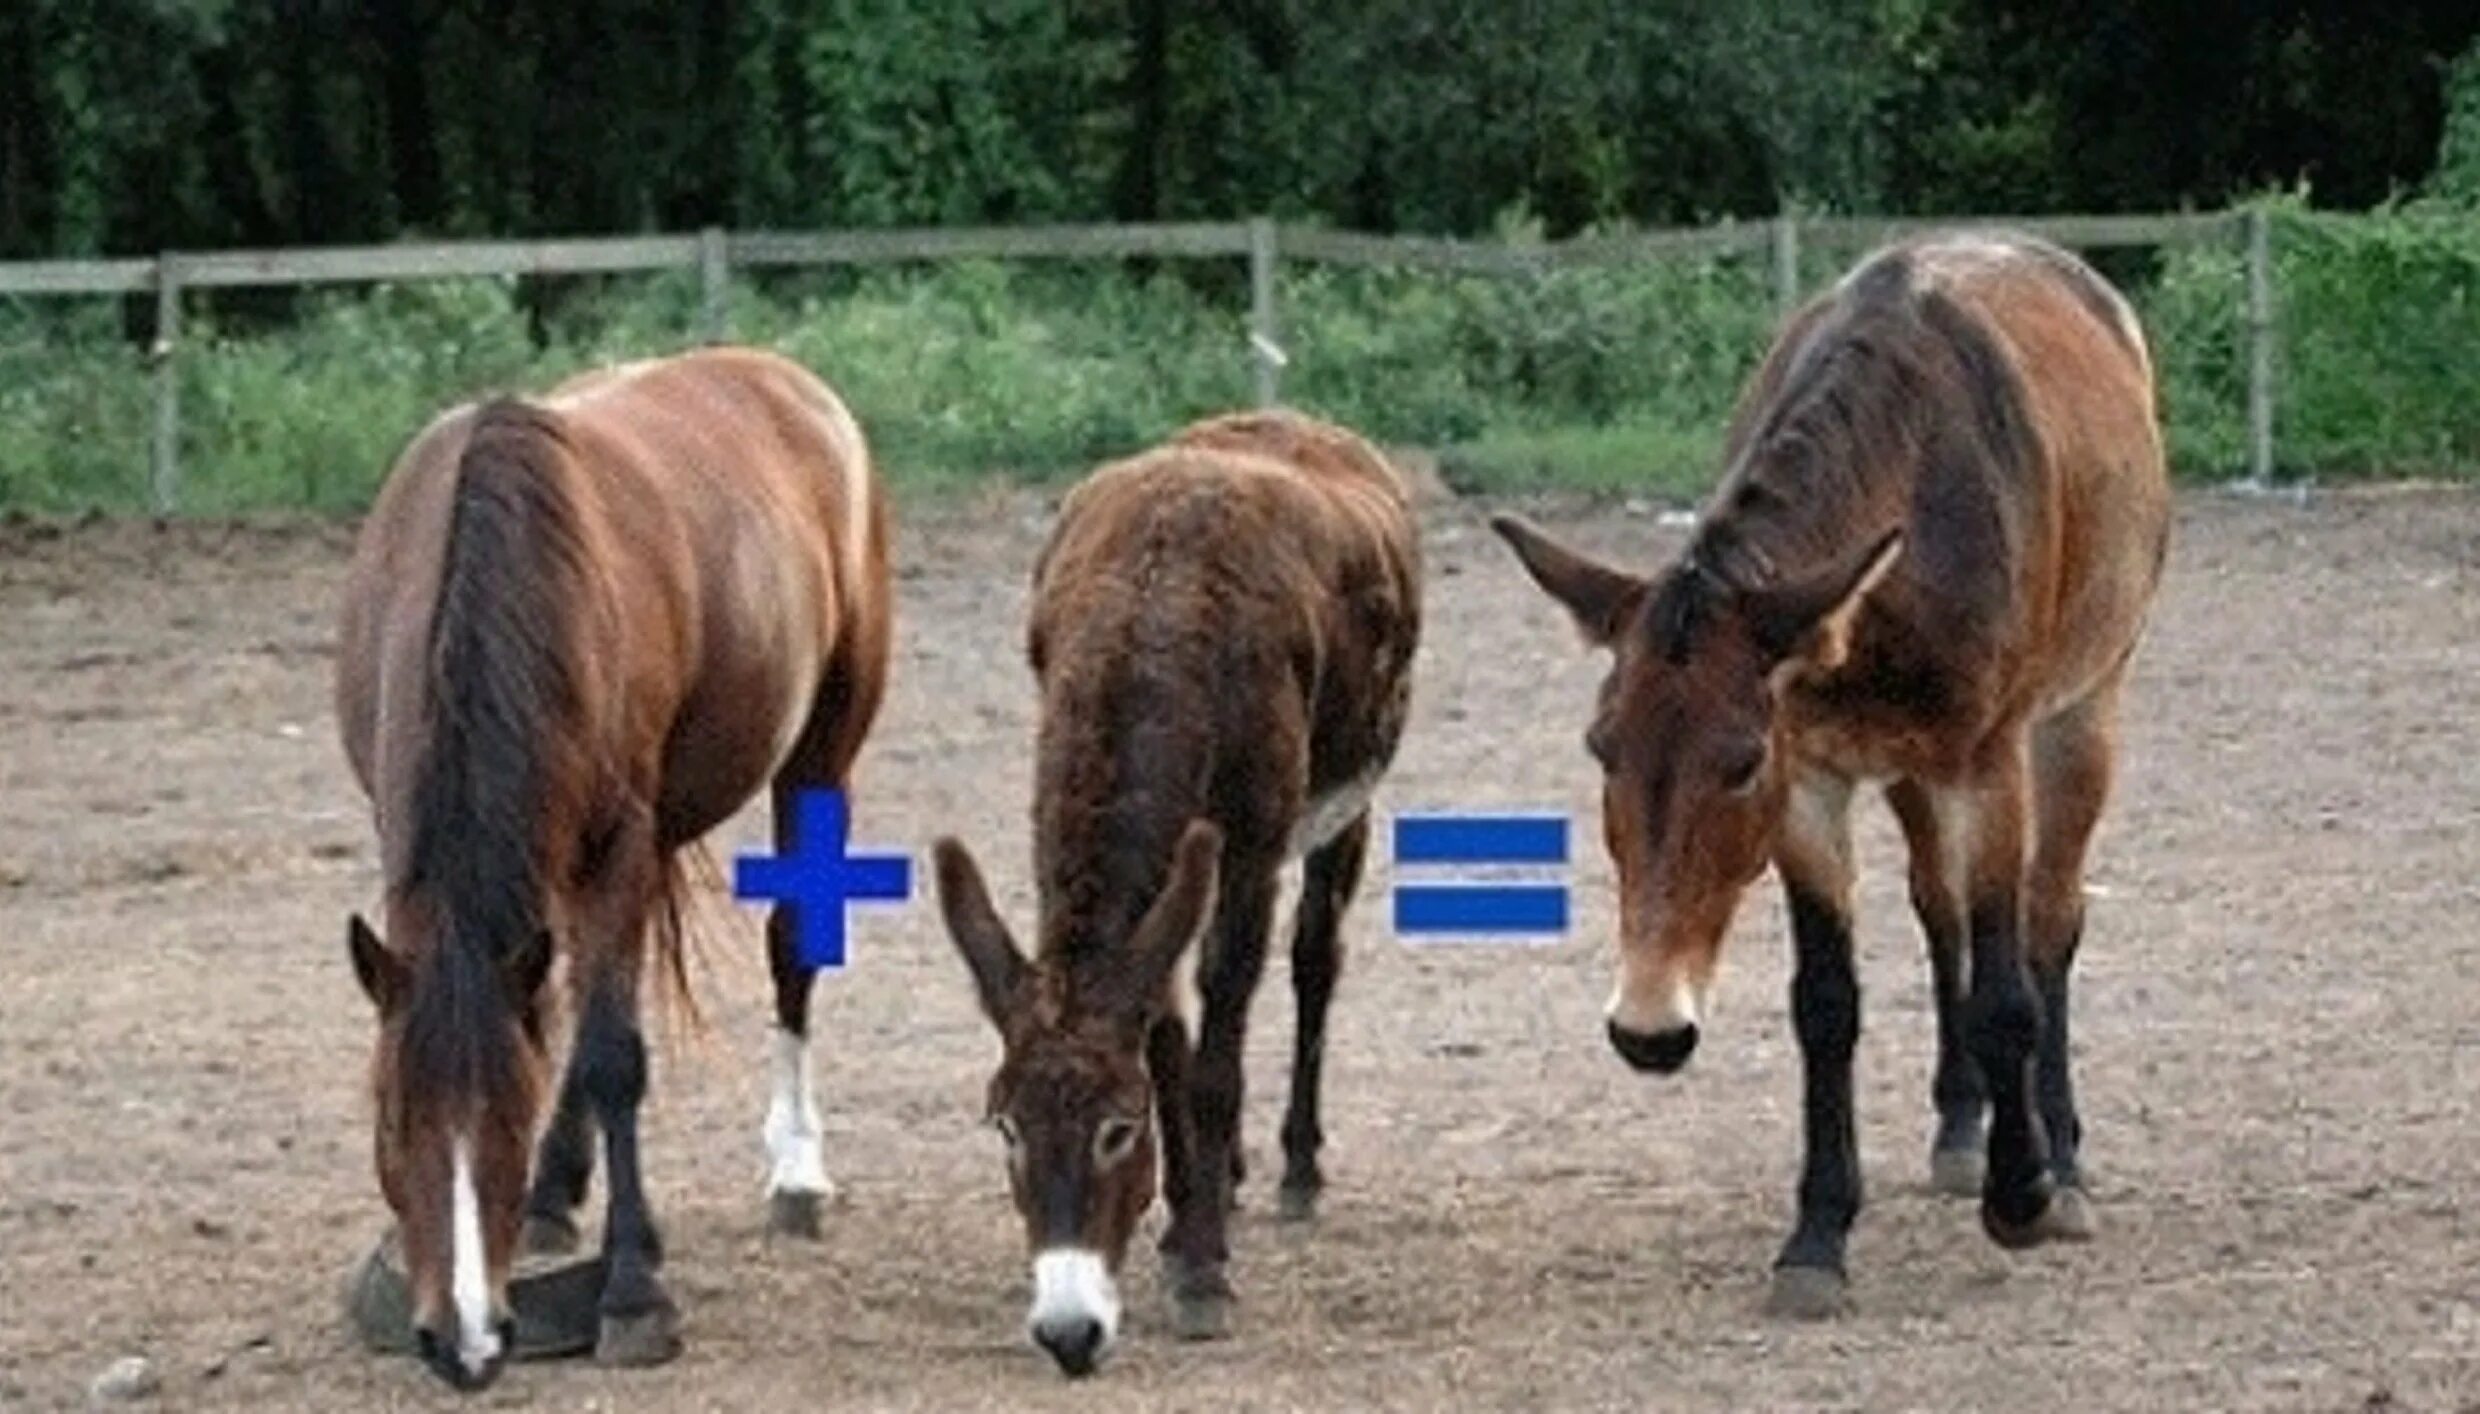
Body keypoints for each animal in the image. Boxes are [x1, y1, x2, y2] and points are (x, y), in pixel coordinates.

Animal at [329, 347, 892, 1379]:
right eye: (389, 1119)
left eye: (504, 1121)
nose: (465, 1342)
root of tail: (787, 381)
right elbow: (568, 1021)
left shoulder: (615, 847)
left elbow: (609, 1055)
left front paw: (633, 1290)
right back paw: (560, 1192)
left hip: (820, 749)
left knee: (791, 944)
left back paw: (796, 1171)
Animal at [932, 404, 1428, 1369]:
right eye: (1005, 1127)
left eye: (1117, 1131)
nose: (1068, 1332)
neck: (1153, 614)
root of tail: (1291, 419)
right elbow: (1169, 1039)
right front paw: (1182, 1223)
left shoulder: (1254, 848)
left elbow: (1216, 1059)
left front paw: (1203, 1273)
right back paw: (1222, 1176)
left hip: (1349, 797)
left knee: (1315, 959)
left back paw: (1295, 1170)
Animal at [1488, 230, 2172, 1309]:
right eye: (1602, 750)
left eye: (1737, 764)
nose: (1647, 1028)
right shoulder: (1812, 780)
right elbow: (1826, 1003)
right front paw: (1815, 1236)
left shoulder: (1984, 763)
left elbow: (2007, 991)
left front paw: (2020, 1194)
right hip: (1908, 767)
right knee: (1939, 912)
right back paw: (1959, 1126)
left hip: (2080, 712)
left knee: (2050, 920)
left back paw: (2058, 1162)